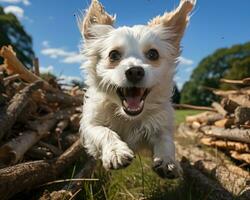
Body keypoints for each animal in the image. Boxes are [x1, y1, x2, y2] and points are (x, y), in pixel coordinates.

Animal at [80, 0, 195, 178]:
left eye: (153, 54)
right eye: (113, 55)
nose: (134, 71)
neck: (128, 117)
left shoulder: (160, 125)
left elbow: (167, 141)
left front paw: (168, 161)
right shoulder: (90, 126)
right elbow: (103, 131)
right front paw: (116, 152)